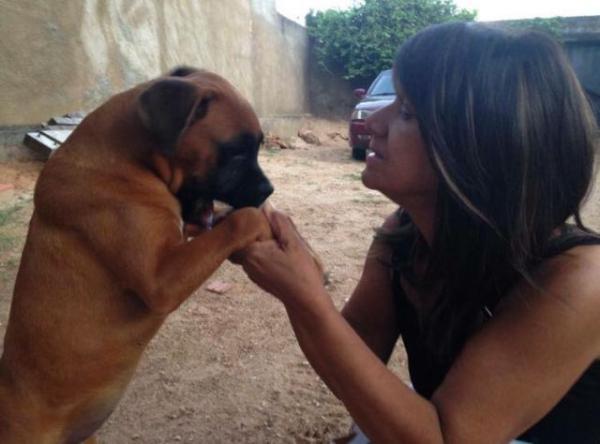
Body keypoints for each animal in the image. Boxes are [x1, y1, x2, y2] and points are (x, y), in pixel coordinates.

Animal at [0, 67, 274, 444]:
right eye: (235, 152)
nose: (268, 190)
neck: (130, 160)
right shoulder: (161, 280)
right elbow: (236, 223)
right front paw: (256, 219)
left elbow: (211, 227)